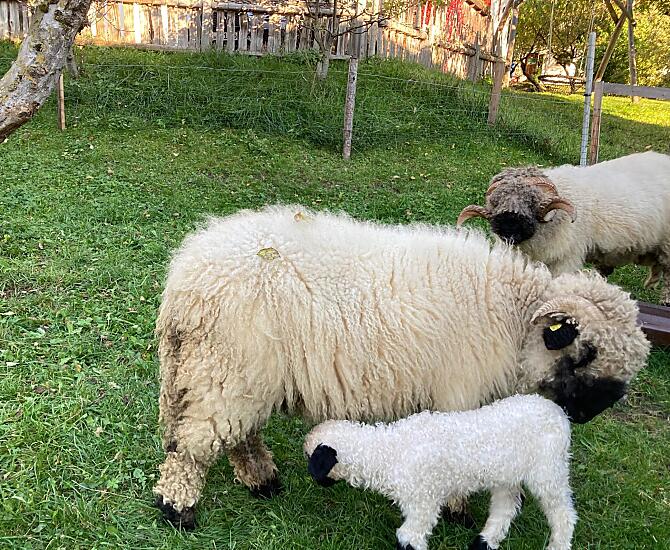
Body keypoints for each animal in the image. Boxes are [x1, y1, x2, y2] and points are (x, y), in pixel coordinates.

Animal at [152, 205, 649, 529]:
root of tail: (186, 278)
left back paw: (263, 481)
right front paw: (458, 512)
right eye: (585, 352)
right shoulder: (459, 395)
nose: (585, 415)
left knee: (239, 435)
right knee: (193, 446)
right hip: (227, 369)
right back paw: (178, 509)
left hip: (234, 374)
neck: (509, 312)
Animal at [305, 394, 576, 550]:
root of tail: (558, 411)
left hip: (549, 468)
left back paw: (558, 545)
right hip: (506, 473)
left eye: (311, 459)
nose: (312, 479)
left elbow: (409, 538)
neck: (389, 452)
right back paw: (484, 542)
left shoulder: (423, 501)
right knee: (506, 506)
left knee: (563, 513)